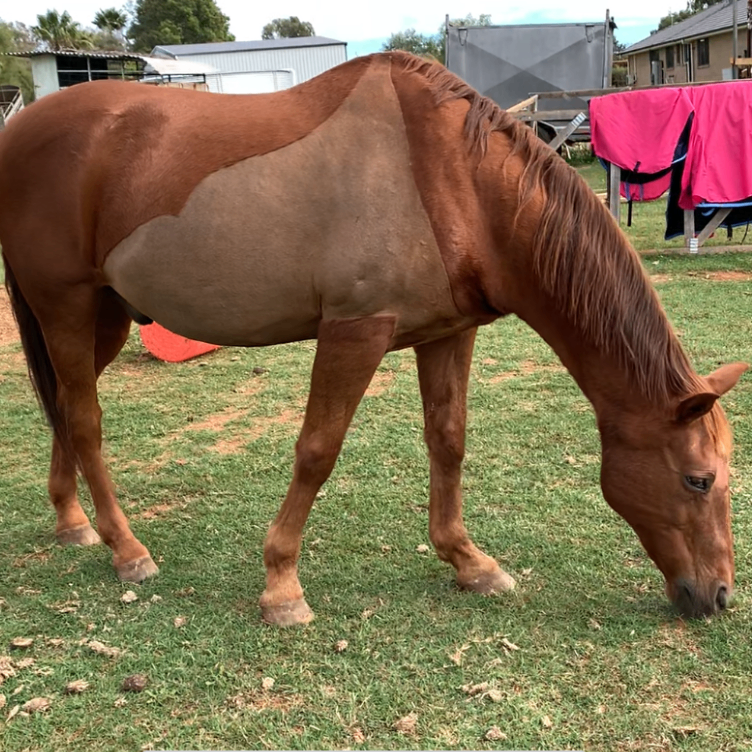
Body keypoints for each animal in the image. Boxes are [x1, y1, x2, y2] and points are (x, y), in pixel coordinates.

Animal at [0, 52, 746, 625]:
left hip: (103, 317)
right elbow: (317, 452)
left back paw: (73, 522)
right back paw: (125, 549)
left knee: (65, 408)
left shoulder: (448, 334)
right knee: (86, 420)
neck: (452, 179)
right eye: (699, 480)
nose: (718, 596)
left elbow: (448, 442)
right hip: (65, 308)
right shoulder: (356, 331)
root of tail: (20, 132)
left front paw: (469, 562)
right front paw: (281, 585)